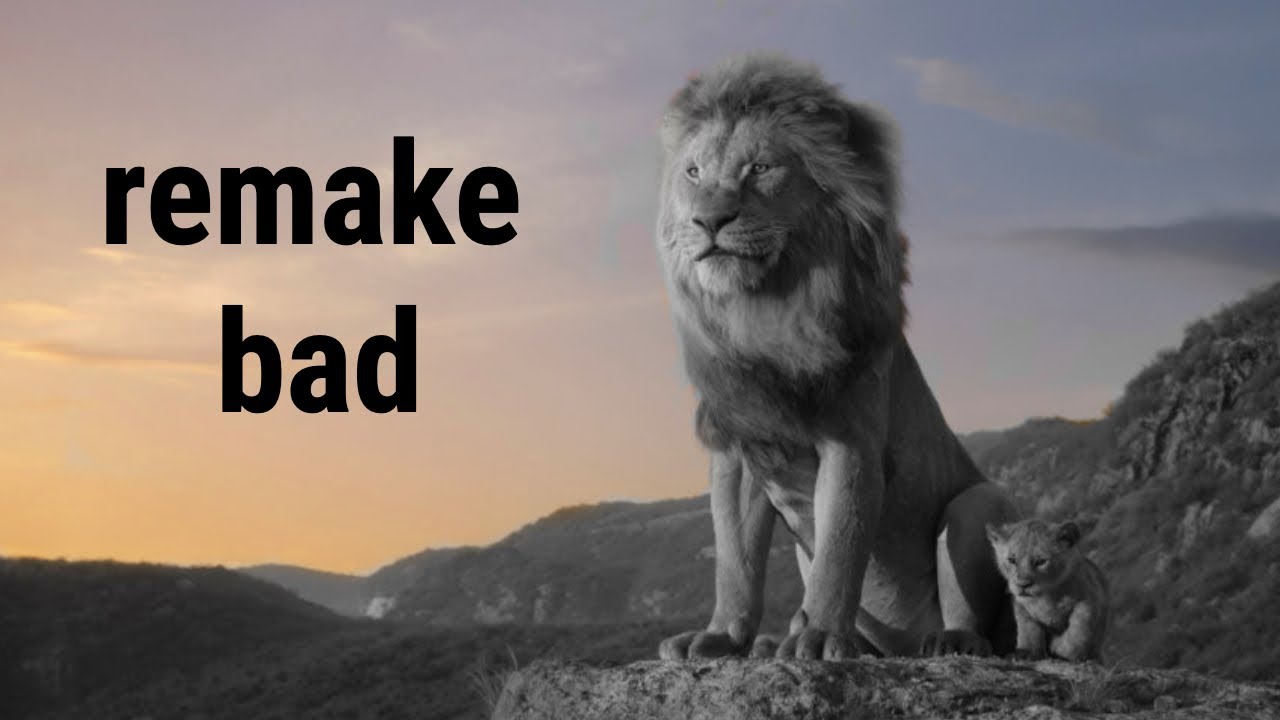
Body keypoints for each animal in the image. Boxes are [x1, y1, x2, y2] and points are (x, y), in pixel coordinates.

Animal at [654, 54, 1021, 661]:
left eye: (760, 168)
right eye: (693, 173)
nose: (709, 221)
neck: (764, 312)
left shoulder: (852, 441)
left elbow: (840, 550)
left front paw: (822, 636)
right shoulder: (738, 450)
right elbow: (735, 561)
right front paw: (722, 636)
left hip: (978, 504)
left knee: (980, 621)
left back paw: (947, 640)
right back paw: (779, 642)